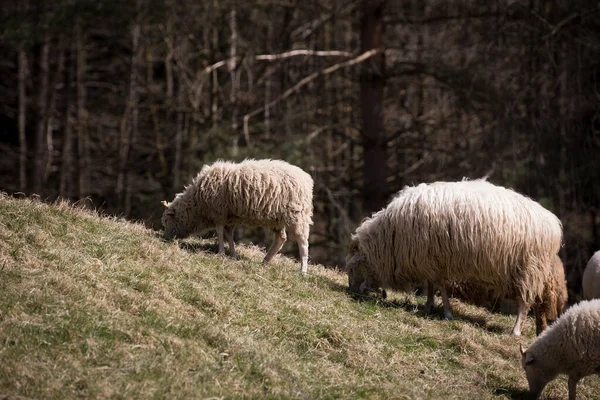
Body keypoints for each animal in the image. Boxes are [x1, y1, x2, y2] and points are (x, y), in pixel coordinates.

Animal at [162, 158, 316, 274]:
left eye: (167, 221)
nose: (165, 239)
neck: (197, 203)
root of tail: (306, 179)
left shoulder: (219, 212)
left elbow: (220, 232)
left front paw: (221, 252)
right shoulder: (229, 216)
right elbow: (229, 234)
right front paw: (233, 255)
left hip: (297, 215)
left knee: (303, 242)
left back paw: (303, 270)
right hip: (277, 219)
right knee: (281, 238)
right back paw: (265, 260)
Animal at [344, 180, 564, 336]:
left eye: (353, 268)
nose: (351, 291)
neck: (391, 236)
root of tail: (553, 223)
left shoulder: (436, 260)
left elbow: (440, 287)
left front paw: (447, 313)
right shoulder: (429, 261)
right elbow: (430, 285)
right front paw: (428, 306)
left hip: (528, 269)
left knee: (524, 303)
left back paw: (516, 331)